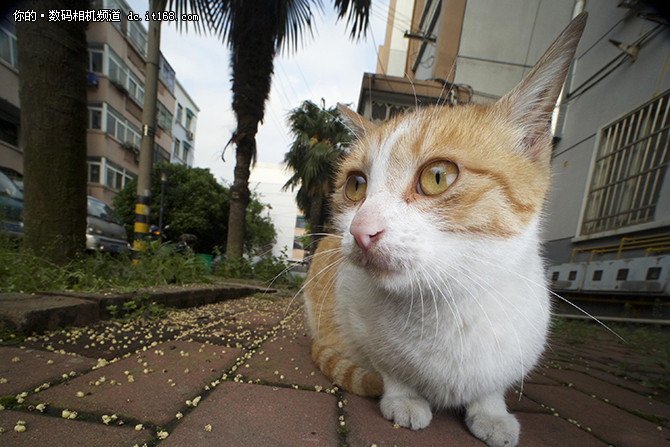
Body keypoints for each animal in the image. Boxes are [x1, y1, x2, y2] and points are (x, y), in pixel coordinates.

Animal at [304, 14, 588, 447]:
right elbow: (388, 367)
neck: (447, 303)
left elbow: (491, 389)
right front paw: (404, 397)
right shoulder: (354, 320)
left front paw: (492, 413)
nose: (360, 230)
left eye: (437, 177)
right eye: (355, 185)